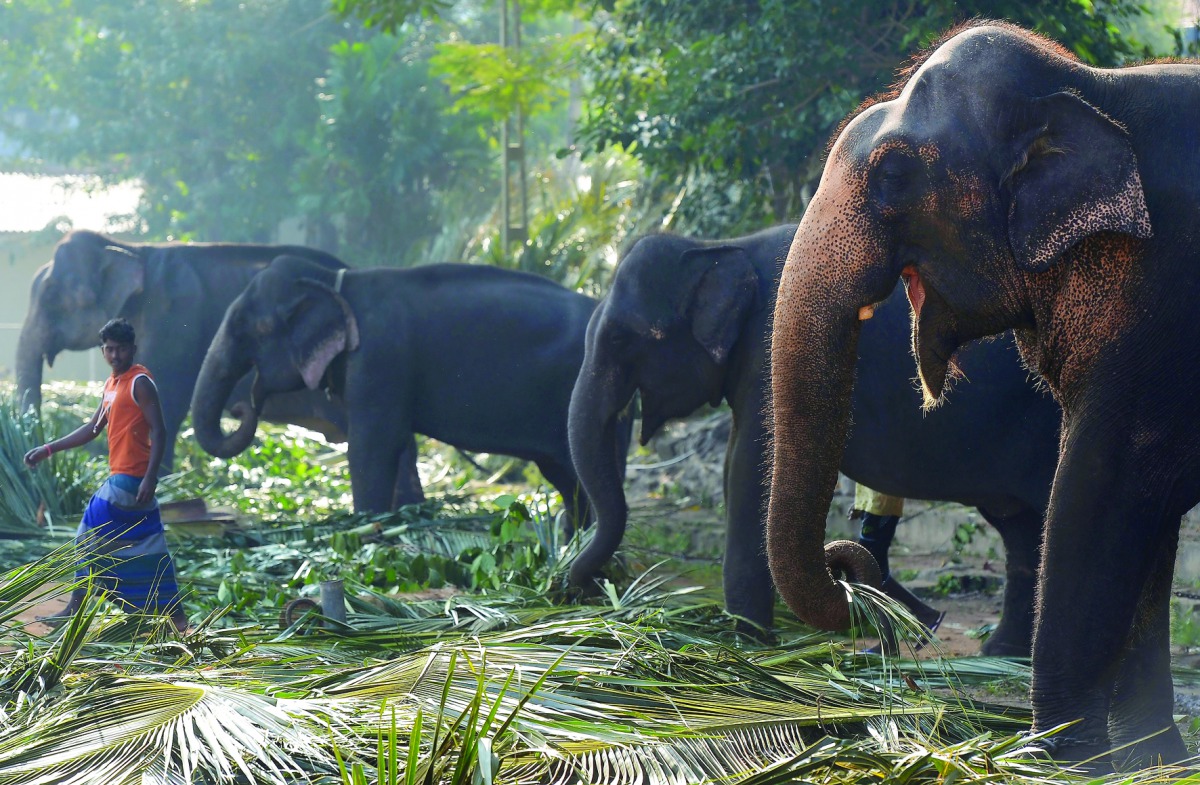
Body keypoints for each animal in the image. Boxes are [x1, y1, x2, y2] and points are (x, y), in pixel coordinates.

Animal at [191, 255, 625, 519]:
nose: (240, 408)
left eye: (247, 329)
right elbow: (393, 443)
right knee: (566, 480)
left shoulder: (380, 358)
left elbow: (371, 446)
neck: (335, 284)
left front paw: (365, 526)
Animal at [567, 225, 1060, 655]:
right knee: (1018, 528)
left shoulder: (768, 351)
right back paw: (987, 648)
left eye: (620, 337)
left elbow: (749, 472)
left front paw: (747, 643)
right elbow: (734, 467)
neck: (715, 246)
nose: (581, 587)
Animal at [766, 20, 1200, 768]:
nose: (848, 562)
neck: (1097, 89)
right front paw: (1155, 764)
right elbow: (1147, 514)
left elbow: (1101, 488)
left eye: (894, 173)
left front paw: (1057, 762)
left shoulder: (1156, 307)